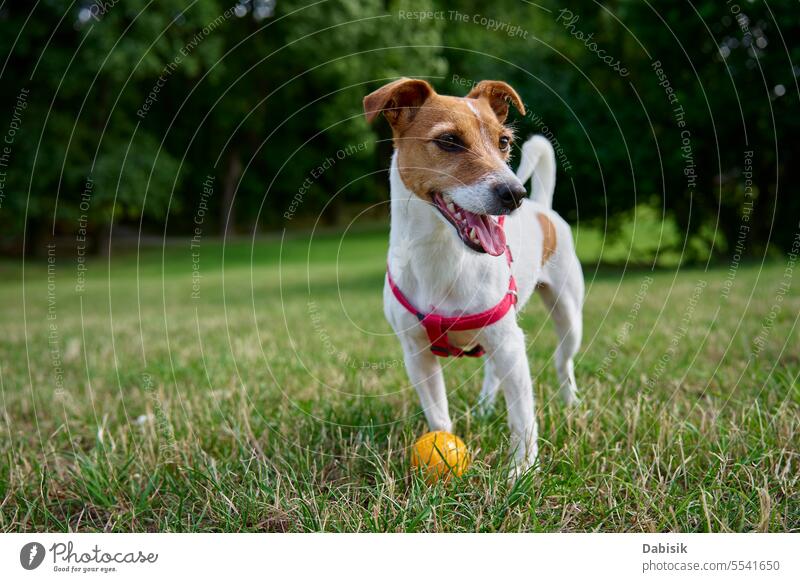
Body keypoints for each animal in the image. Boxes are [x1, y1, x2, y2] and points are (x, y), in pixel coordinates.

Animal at [366, 78, 584, 480]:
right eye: (449, 140)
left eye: (504, 141)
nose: (514, 194)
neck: (441, 256)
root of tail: (542, 206)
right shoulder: (416, 354)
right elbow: (439, 415)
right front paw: (442, 451)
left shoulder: (511, 343)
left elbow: (523, 419)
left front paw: (521, 472)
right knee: (492, 372)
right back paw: (484, 407)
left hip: (567, 314)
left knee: (563, 363)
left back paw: (571, 402)